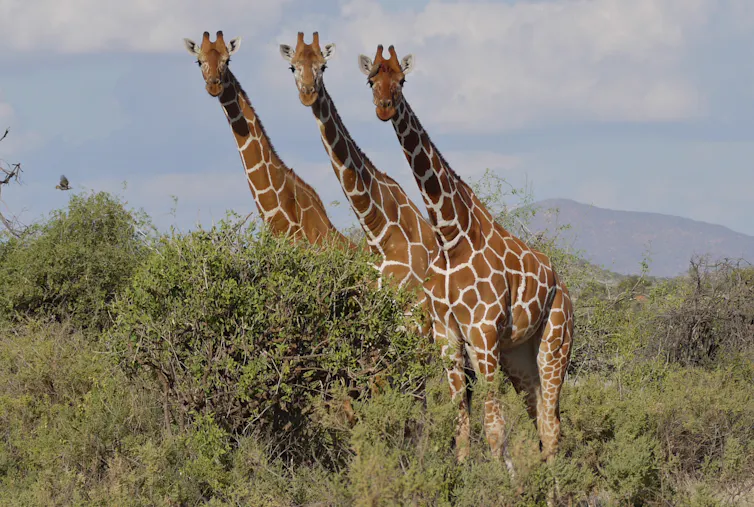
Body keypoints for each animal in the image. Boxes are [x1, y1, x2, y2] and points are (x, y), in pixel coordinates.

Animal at [358, 45, 574, 470]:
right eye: (372, 79)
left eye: (402, 80)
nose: (385, 108)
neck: (450, 234)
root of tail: (565, 290)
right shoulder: (447, 334)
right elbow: (461, 423)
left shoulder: (483, 331)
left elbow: (494, 428)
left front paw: (503, 480)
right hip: (519, 355)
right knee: (541, 419)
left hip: (555, 344)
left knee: (554, 423)